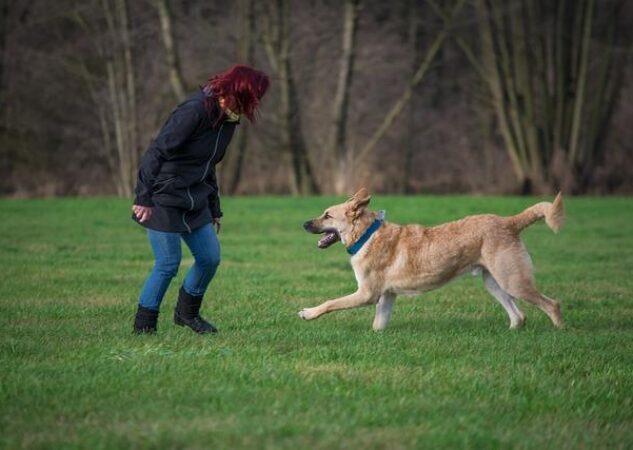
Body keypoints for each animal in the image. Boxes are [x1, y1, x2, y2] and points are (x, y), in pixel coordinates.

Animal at [298, 187, 564, 330]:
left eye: (327, 215)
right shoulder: (386, 296)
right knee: (519, 315)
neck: (366, 234)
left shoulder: (367, 294)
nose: (304, 224)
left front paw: (308, 313)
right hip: (494, 283)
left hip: (513, 281)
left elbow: (330, 303)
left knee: (552, 304)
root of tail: (510, 222)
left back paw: (561, 332)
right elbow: (378, 325)